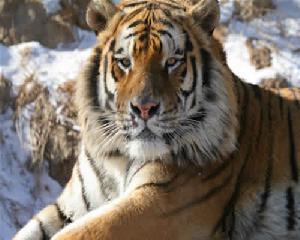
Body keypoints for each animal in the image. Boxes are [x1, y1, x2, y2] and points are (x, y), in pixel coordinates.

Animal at [13, 0, 300, 239]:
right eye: (125, 62)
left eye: (172, 61)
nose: (144, 108)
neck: (118, 158)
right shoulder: (71, 206)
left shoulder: (159, 203)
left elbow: (80, 233)